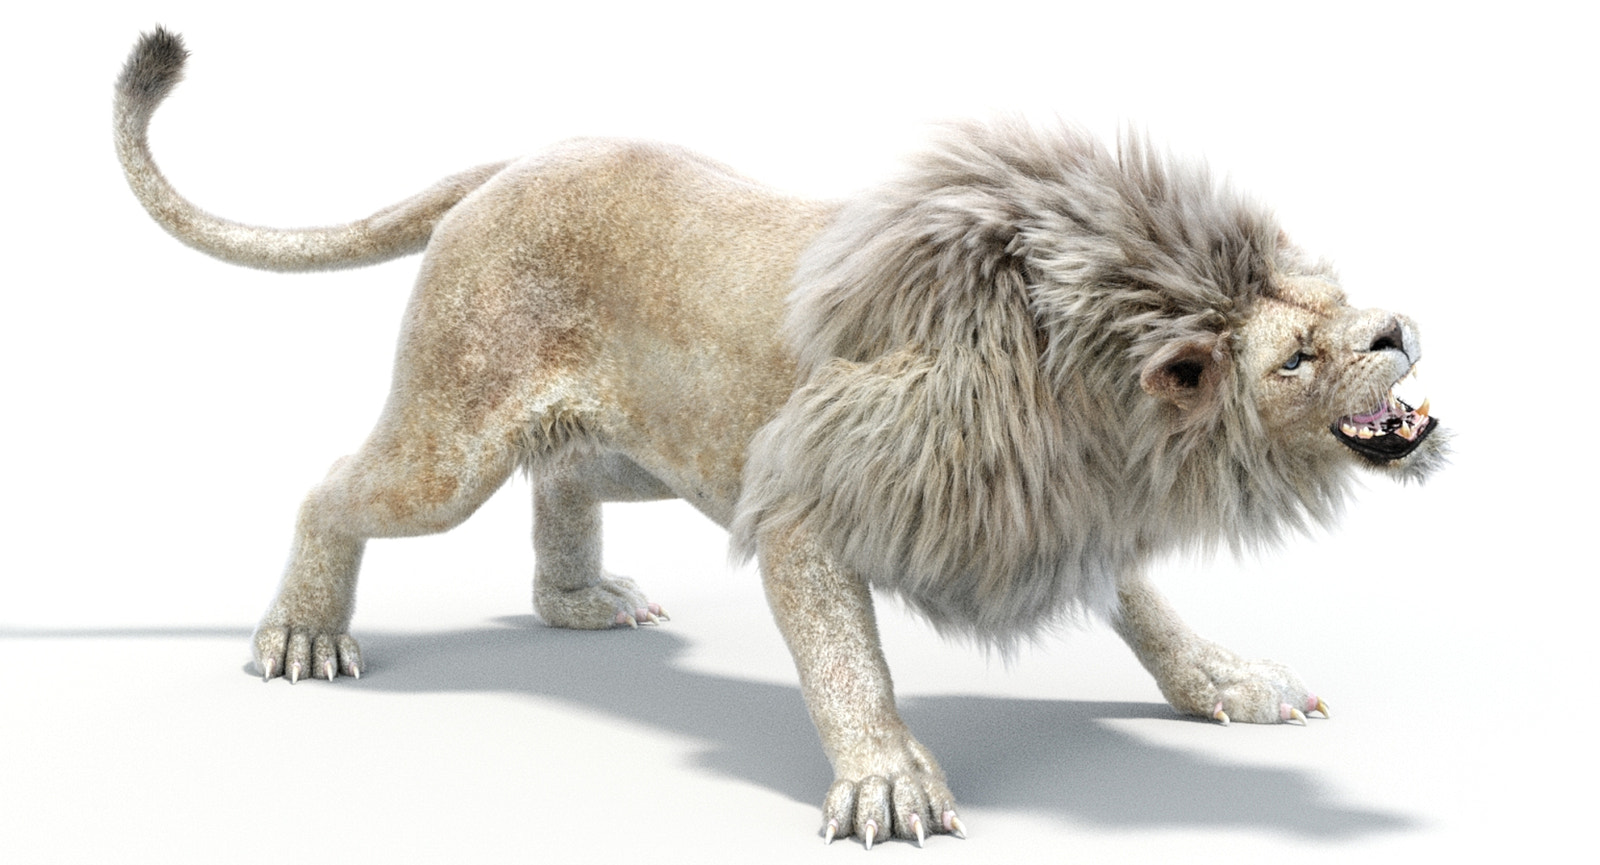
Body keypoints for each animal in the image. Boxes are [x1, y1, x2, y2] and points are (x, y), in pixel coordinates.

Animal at [115, 29, 1447, 848]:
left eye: (1328, 295)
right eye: (1297, 355)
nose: (1396, 327)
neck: (1095, 410)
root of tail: (520, 158)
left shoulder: (1055, 506)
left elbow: (1151, 612)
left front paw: (1227, 681)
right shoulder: (809, 510)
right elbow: (851, 665)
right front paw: (887, 783)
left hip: (658, 450)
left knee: (562, 479)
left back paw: (582, 598)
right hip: (456, 443)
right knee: (336, 487)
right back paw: (301, 633)